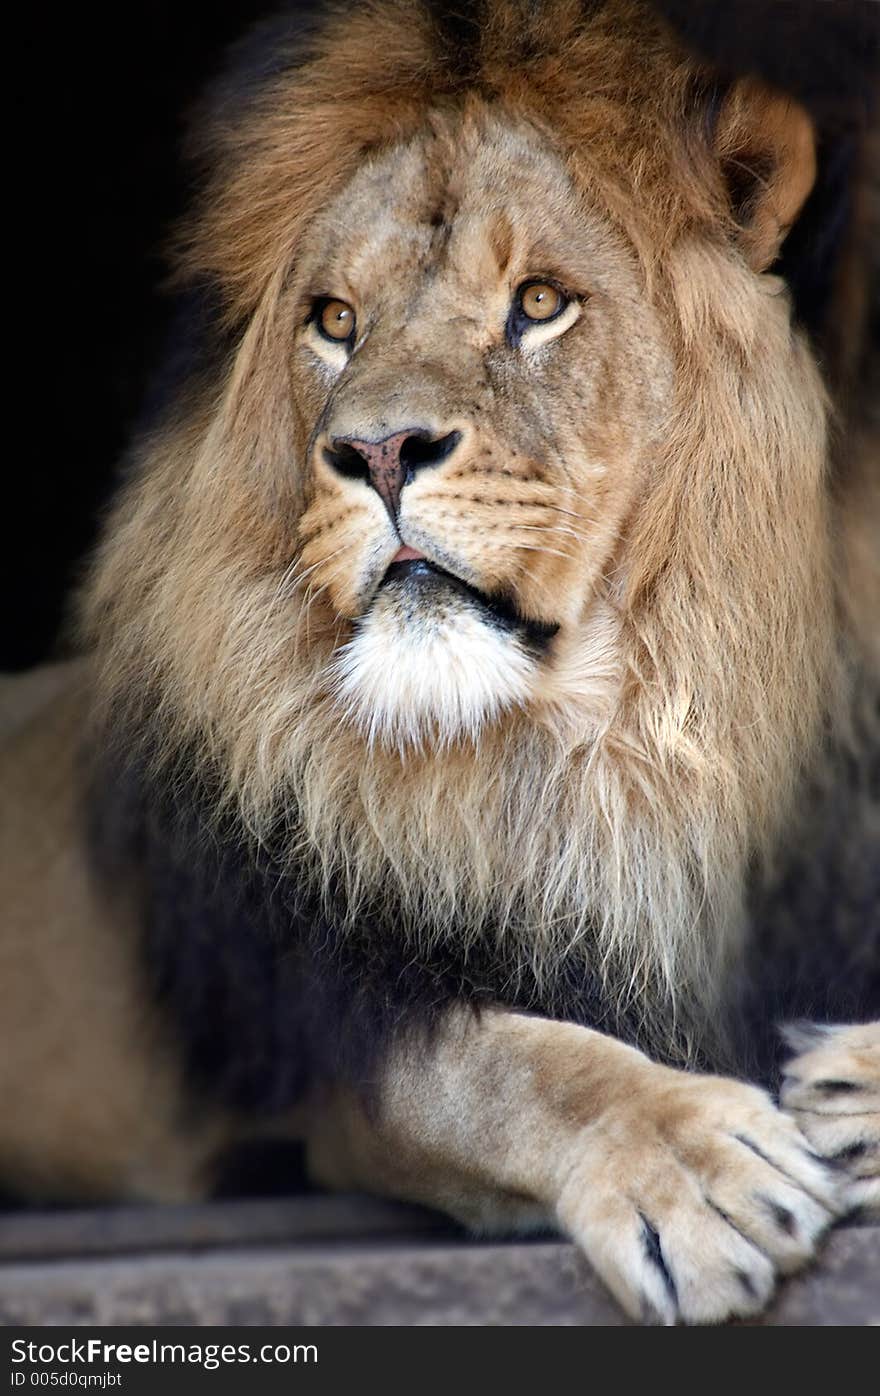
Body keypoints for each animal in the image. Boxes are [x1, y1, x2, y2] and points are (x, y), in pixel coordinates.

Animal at [1, 0, 880, 1323]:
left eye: (540, 302)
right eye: (334, 321)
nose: (375, 450)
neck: (608, 750)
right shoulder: (338, 1047)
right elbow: (511, 1065)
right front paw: (691, 1167)